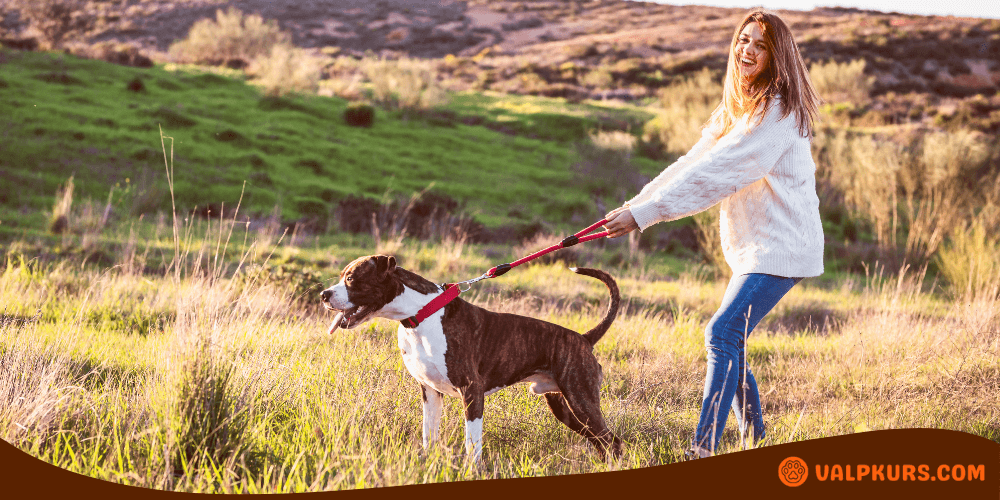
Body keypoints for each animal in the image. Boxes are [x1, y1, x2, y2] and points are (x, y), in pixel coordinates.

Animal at [320, 256, 620, 462]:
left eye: (352, 278)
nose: (324, 294)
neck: (421, 315)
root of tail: (583, 338)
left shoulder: (472, 391)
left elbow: (472, 443)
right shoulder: (430, 392)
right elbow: (429, 434)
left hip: (580, 399)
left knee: (611, 440)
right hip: (565, 408)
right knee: (602, 441)